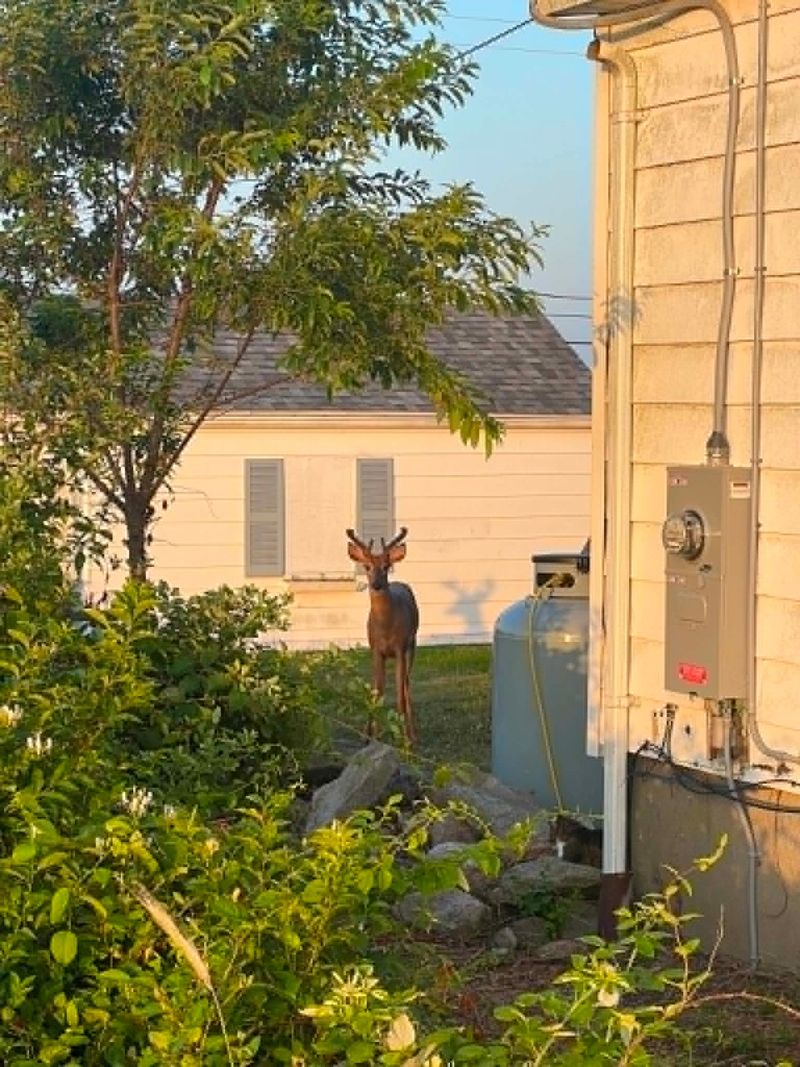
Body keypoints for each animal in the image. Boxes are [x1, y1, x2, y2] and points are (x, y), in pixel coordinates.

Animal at [346, 527, 420, 746]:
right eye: (367, 566)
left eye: (386, 566)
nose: (377, 585)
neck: (386, 628)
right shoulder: (376, 650)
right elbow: (375, 693)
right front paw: (372, 737)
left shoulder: (400, 648)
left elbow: (400, 695)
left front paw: (405, 740)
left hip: (412, 644)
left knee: (406, 685)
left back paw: (413, 734)